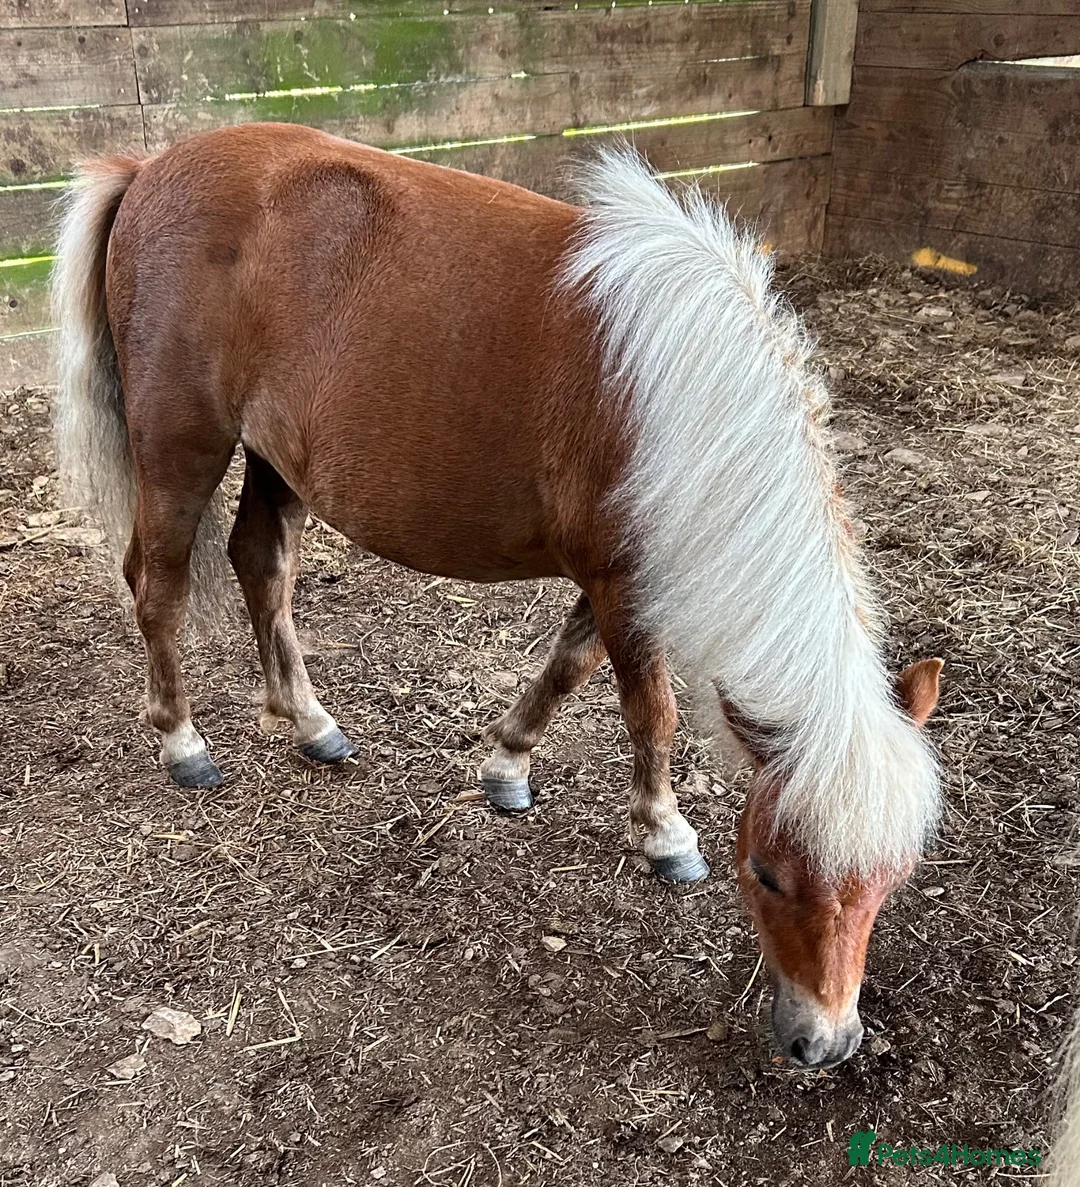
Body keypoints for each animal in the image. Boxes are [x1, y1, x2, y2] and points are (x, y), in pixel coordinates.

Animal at [52, 122, 942, 1069]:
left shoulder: (612, 583)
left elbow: (565, 670)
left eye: (891, 880)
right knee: (159, 585)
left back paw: (311, 723)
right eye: (767, 871)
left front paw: (507, 768)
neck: (685, 402)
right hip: (179, 449)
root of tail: (148, 169)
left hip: (273, 457)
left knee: (260, 565)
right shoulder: (626, 586)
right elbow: (651, 713)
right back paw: (183, 743)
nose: (825, 1040)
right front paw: (665, 835)